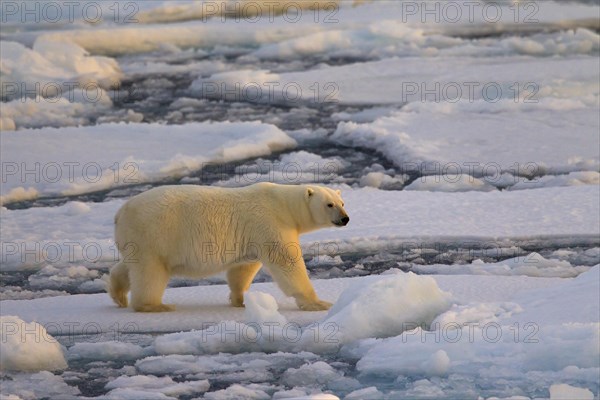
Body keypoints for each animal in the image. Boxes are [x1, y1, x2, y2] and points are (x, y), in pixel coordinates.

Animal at [108, 184, 350, 312]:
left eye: (342, 203)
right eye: (329, 204)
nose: (345, 219)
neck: (283, 205)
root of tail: (119, 213)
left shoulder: (252, 236)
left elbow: (243, 268)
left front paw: (240, 300)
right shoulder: (271, 223)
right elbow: (287, 262)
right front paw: (318, 303)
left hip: (136, 240)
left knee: (128, 266)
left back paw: (119, 296)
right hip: (154, 234)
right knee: (150, 272)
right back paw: (155, 306)